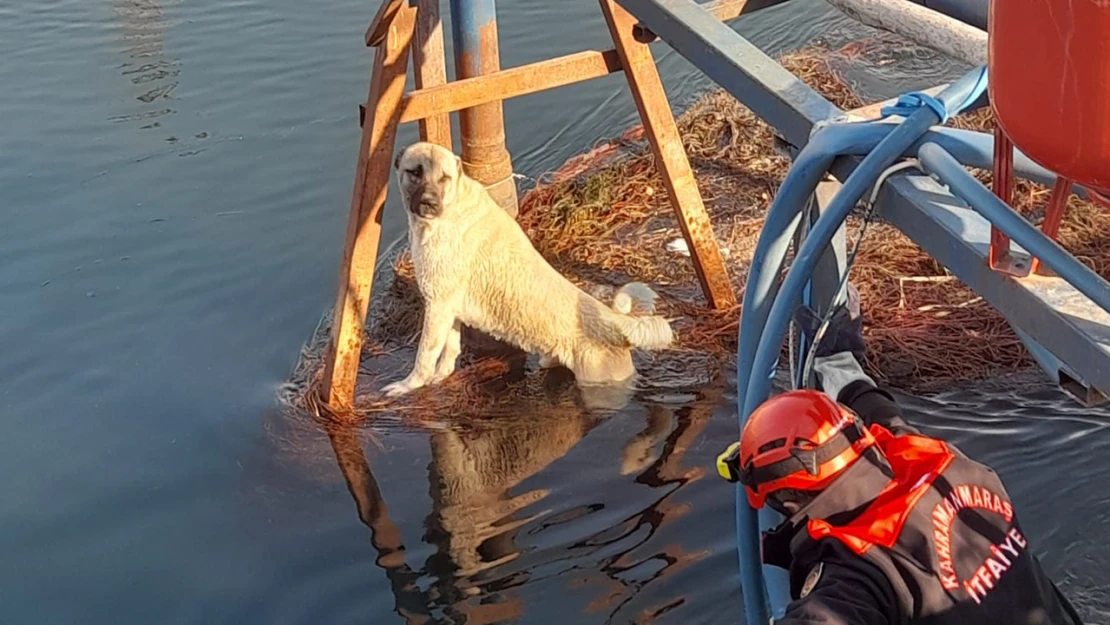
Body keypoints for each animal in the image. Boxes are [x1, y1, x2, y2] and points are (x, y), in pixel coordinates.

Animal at [381, 142, 674, 395]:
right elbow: (449, 349)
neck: (452, 208)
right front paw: (441, 376)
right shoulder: (449, 308)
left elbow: (424, 356)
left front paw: (407, 386)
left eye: (444, 178)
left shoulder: (437, 306)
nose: (429, 202)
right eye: (415, 172)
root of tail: (616, 324)